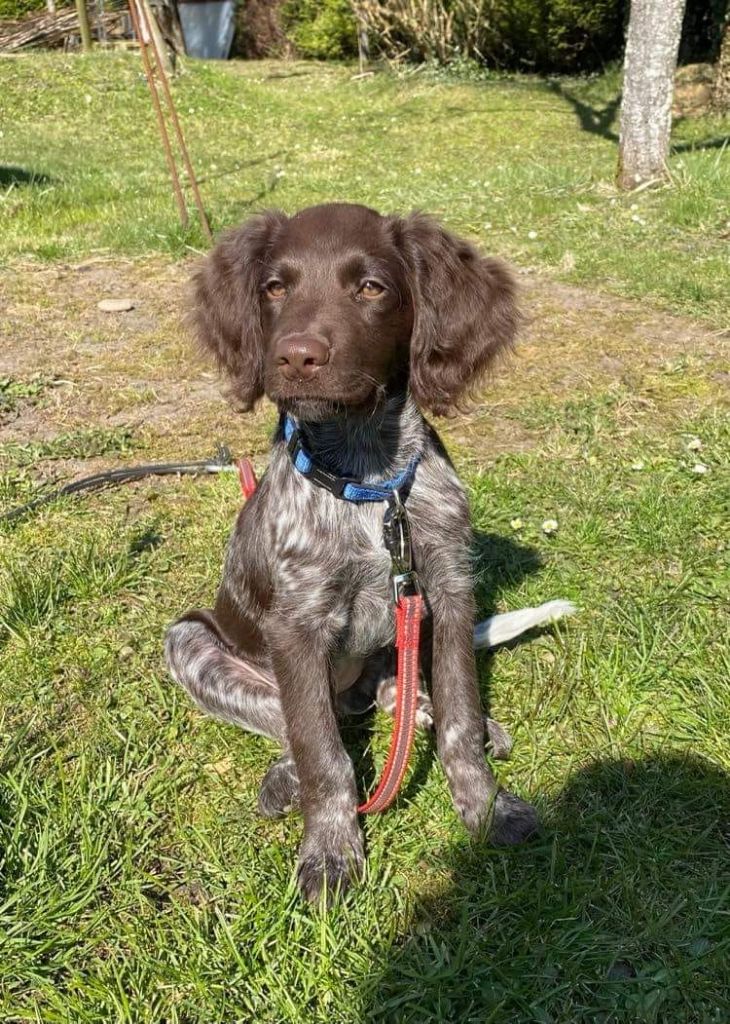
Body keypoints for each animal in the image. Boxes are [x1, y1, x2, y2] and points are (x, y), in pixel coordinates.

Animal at [164, 201, 569, 905]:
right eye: (275, 288)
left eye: (372, 288)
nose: (295, 357)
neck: (369, 482)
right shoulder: (295, 625)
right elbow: (322, 753)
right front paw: (331, 849)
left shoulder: (446, 589)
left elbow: (460, 720)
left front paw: (486, 806)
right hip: (190, 640)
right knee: (297, 724)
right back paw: (287, 774)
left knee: (398, 694)